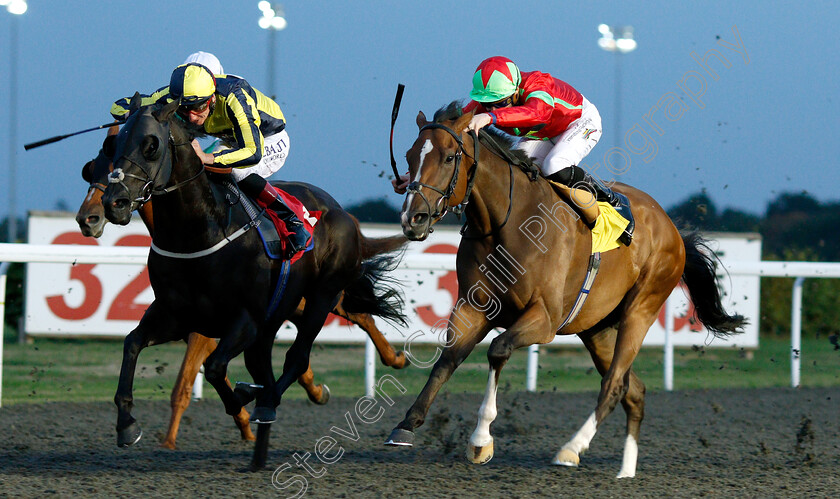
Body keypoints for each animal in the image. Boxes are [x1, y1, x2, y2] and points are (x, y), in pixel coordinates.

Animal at [100, 96, 408, 468]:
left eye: (151, 146)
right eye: (114, 145)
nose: (113, 202)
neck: (201, 231)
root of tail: (342, 212)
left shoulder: (244, 319)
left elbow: (215, 368)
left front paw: (241, 403)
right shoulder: (176, 316)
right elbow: (132, 343)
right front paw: (126, 424)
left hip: (321, 297)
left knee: (297, 358)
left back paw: (269, 399)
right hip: (276, 319)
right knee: (266, 364)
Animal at [384, 102, 744, 480]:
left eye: (450, 157)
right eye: (409, 156)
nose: (413, 219)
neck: (507, 223)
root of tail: (673, 230)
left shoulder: (544, 318)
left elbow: (498, 350)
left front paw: (481, 439)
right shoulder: (472, 307)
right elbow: (447, 360)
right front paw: (406, 425)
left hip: (642, 308)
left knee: (614, 385)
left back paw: (572, 448)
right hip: (597, 328)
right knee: (633, 390)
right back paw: (626, 470)